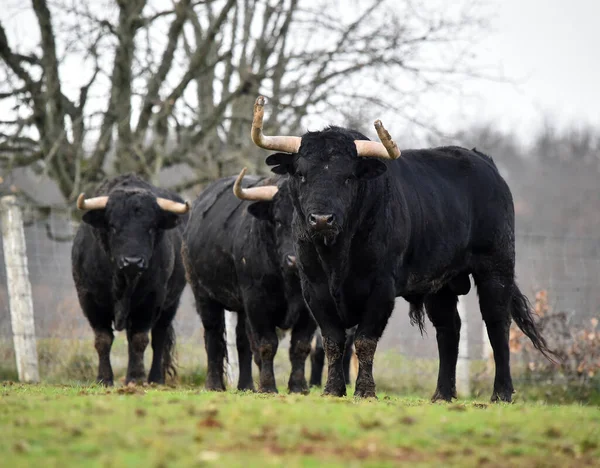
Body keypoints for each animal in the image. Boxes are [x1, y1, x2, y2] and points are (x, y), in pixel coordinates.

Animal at [246, 100, 556, 404]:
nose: (321, 219)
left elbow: (365, 340)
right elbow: (333, 341)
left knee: (496, 323)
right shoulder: (314, 289)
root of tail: (484, 163)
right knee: (449, 329)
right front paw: (333, 389)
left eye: (348, 177)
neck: (336, 256)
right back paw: (442, 394)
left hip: (496, 267)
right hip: (440, 284)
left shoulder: (381, 288)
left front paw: (365, 391)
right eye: (301, 174)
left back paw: (501, 393)